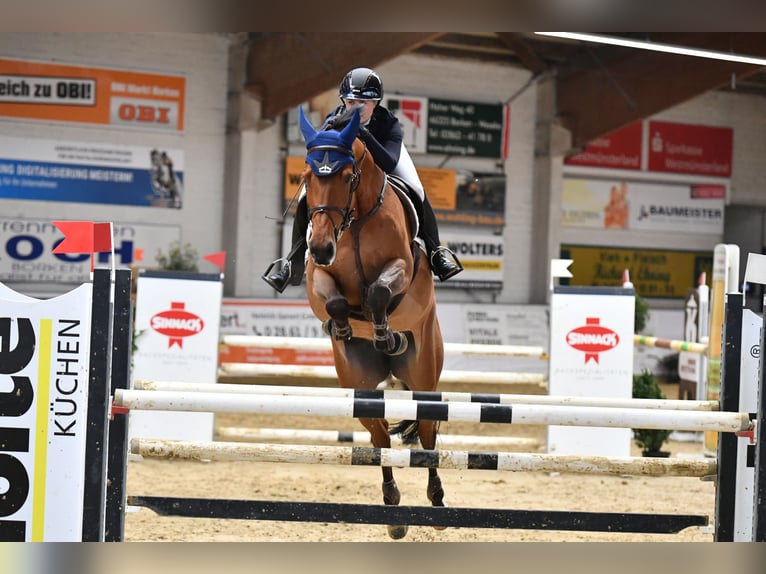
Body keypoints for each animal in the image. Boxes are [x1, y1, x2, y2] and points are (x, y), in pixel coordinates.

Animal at [296, 107, 448, 540]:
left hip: (424, 375)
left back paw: (436, 500)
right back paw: (393, 511)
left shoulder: (401, 267)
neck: (358, 220)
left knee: (427, 434)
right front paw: (345, 327)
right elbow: (333, 299)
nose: (321, 247)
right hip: (360, 386)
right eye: (307, 177)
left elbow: (379, 291)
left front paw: (385, 334)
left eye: (348, 176)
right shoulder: (317, 276)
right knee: (380, 436)